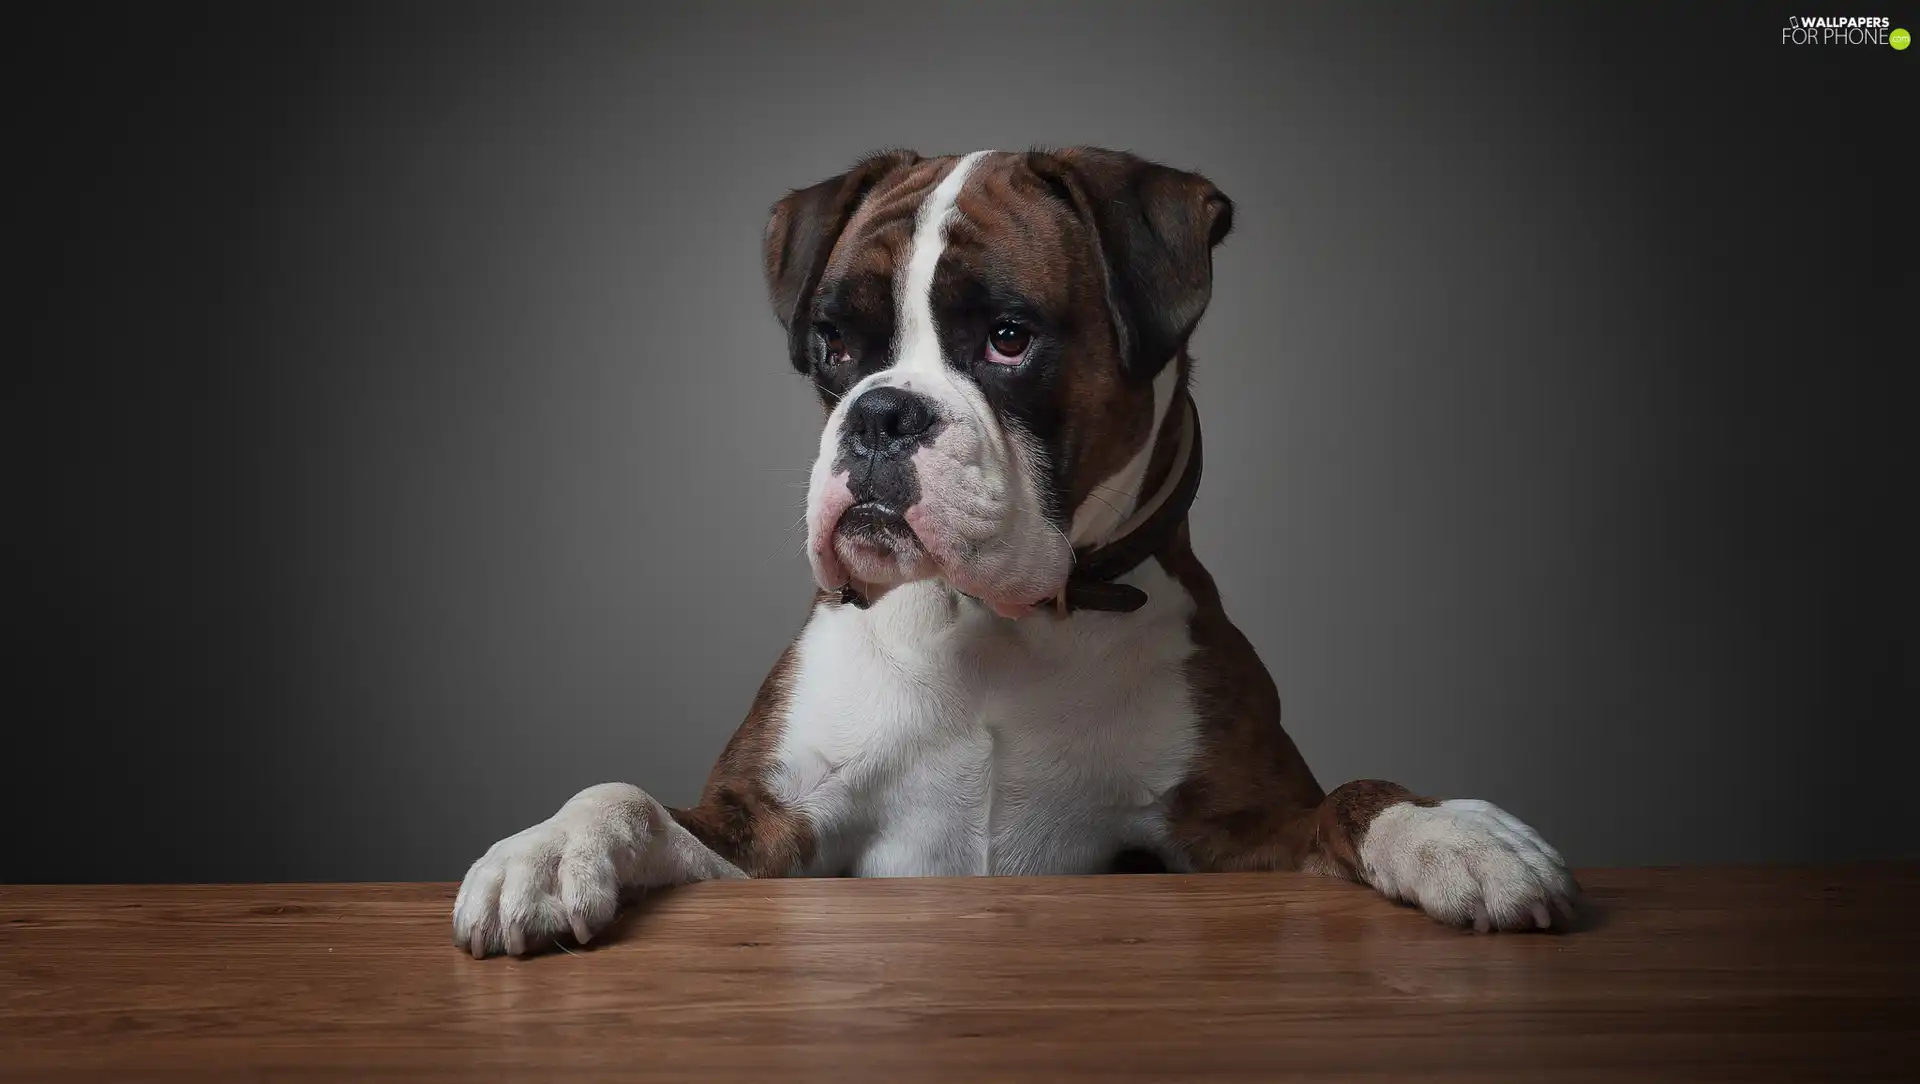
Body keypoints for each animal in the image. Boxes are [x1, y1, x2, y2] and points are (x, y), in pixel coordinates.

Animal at [449, 145, 1574, 955]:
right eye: (835, 347)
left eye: (1006, 337)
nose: (880, 416)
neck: (990, 624)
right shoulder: (765, 834)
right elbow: (629, 798)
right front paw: (544, 854)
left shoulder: (1244, 834)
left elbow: (1350, 798)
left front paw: (1457, 834)